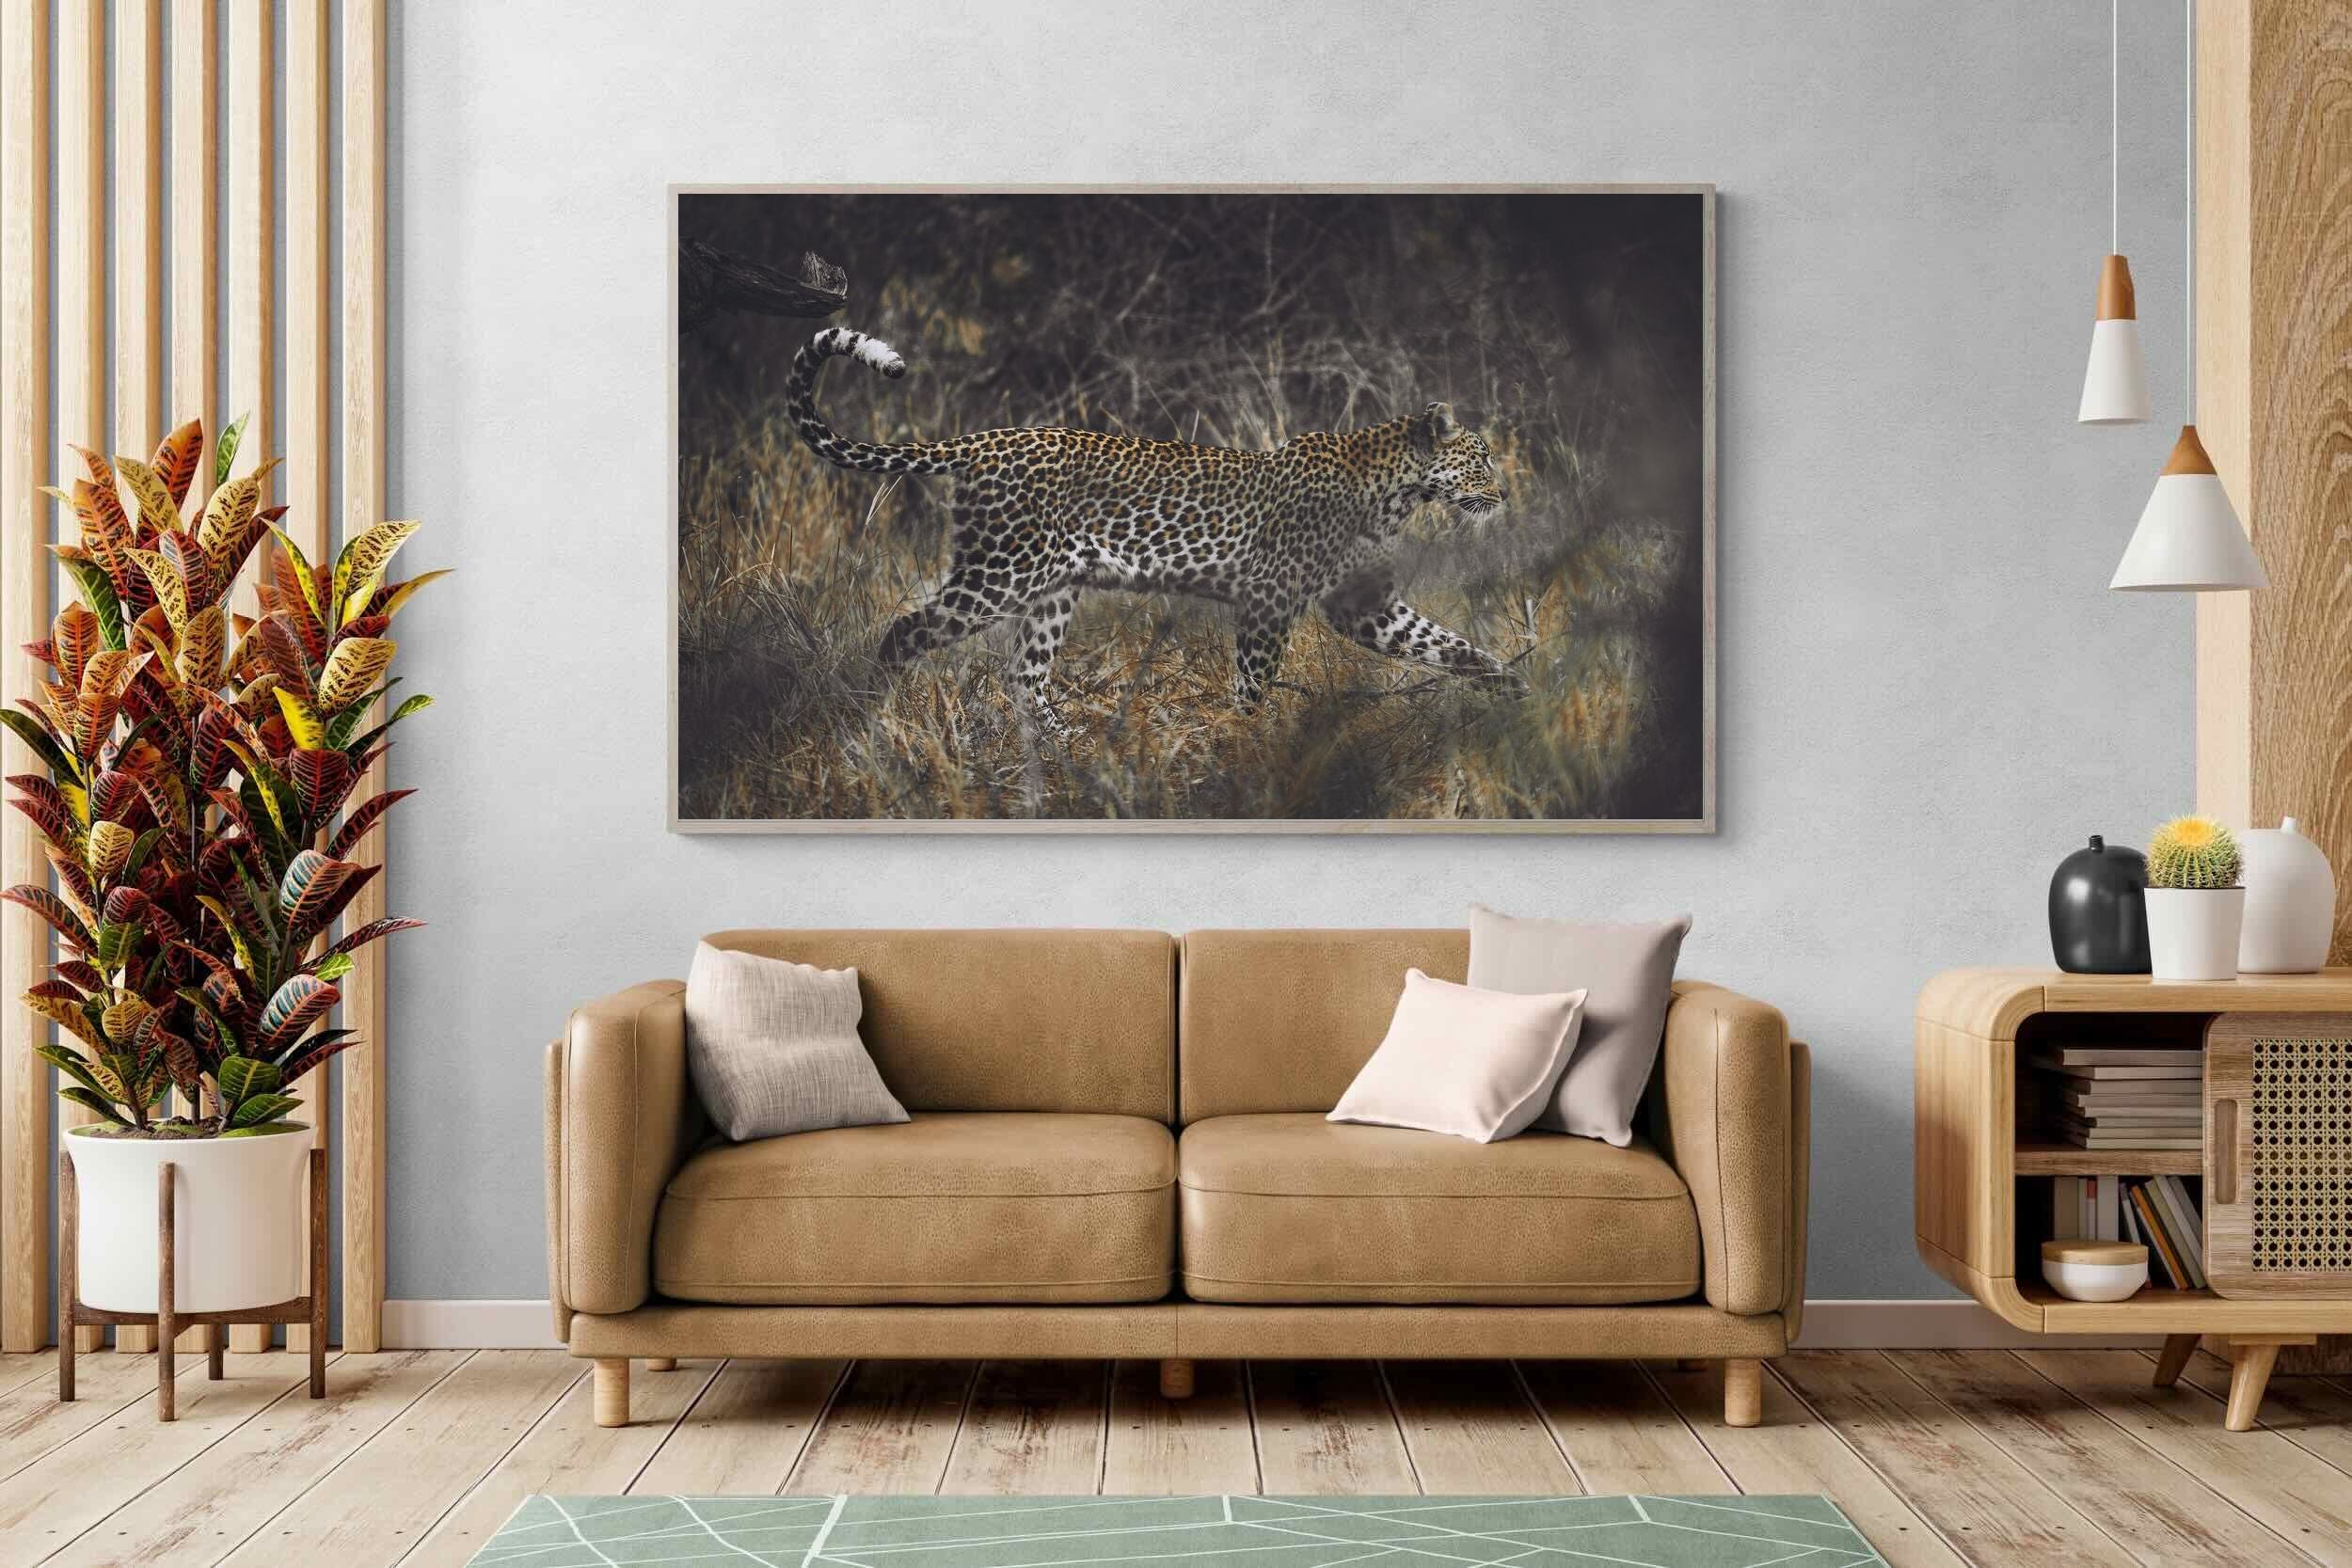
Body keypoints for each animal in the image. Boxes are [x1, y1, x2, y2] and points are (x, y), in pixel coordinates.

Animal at [784, 324, 1522, 733]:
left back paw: (1067, 750)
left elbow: (1444, 644)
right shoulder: (1270, 597)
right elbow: (1253, 682)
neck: (1397, 492)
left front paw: (1512, 686)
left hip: (1054, 587)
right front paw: (1244, 744)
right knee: (905, 632)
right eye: (1482, 457)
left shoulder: (1362, 606)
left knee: (1025, 674)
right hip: (1000, 573)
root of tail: (985, 439)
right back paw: (873, 718)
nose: (1506, 491)